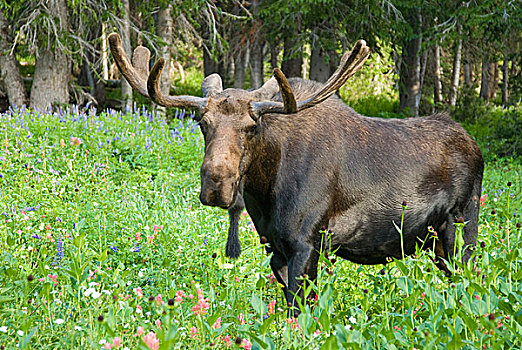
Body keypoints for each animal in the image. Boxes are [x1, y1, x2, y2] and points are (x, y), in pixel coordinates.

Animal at [108, 32, 484, 312]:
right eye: (203, 123)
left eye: (251, 127)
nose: (217, 184)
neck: (264, 189)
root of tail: (476, 147)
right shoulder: (276, 247)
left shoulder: (307, 242)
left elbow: (299, 312)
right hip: (435, 243)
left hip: (460, 229)